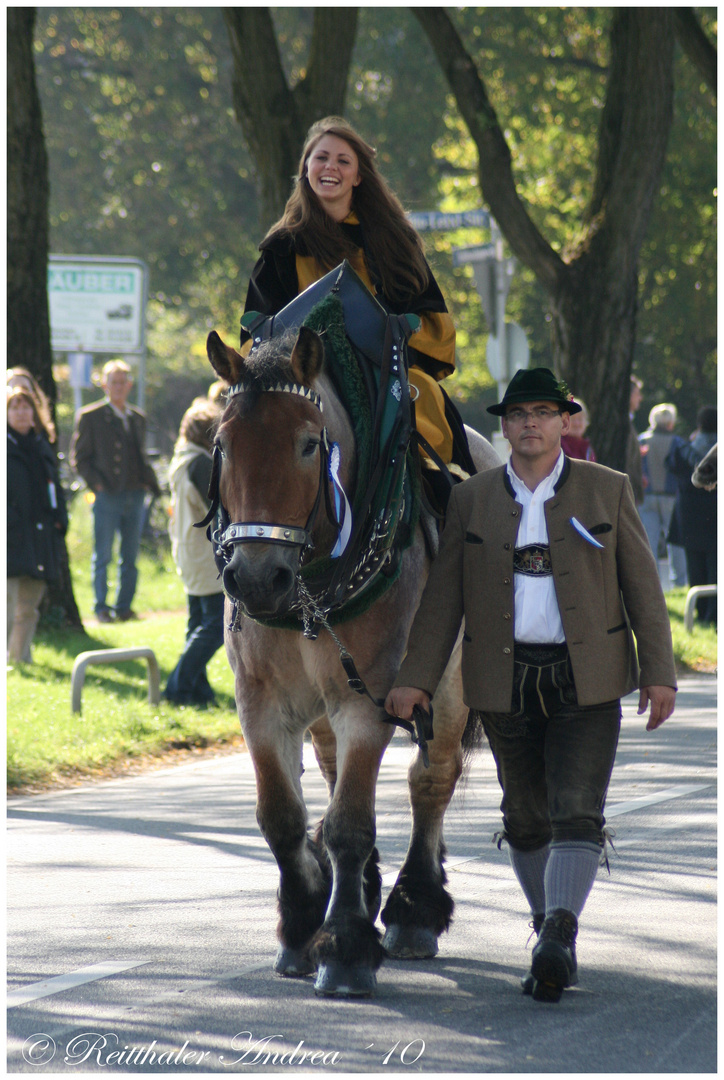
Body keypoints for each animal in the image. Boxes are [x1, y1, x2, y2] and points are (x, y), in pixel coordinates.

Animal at [204, 321, 499, 993]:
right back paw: (362, 889)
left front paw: (342, 944)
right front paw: (301, 922)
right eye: (222, 444)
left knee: (431, 780)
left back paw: (415, 906)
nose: (254, 577)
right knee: (336, 773)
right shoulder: (259, 702)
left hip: (447, 689)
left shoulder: (371, 700)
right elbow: (282, 817)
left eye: (310, 445)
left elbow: (350, 824)